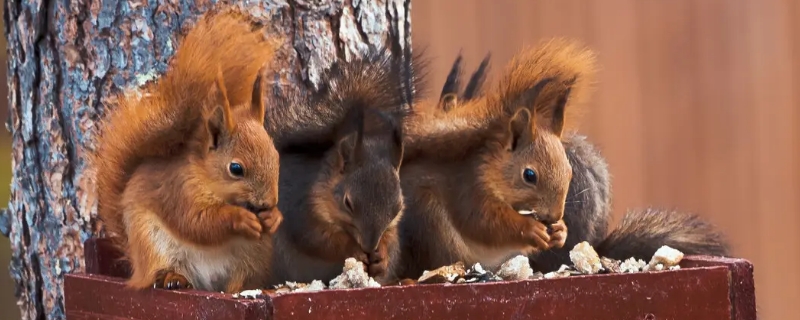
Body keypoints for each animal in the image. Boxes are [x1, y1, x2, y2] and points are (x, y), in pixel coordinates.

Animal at [90, 8, 282, 292]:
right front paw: (239, 219)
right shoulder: (178, 190)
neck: (210, 181)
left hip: (253, 255)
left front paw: (273, 218)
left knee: (241, 280)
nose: (269, 202)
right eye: (236, 168)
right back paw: (174, 279)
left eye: (276, 156)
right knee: (161, 271)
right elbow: (197, 223)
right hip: (152, 244)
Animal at [268, 50, 418, 284]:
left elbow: (390, 240)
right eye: (348, 202)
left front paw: (381, 257)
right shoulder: (301, 211)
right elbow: (320, 242)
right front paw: (353, 251)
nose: (369, 246)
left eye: (397, 208)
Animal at [396, 37, 600, 278]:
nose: (553, 216)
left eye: (570, 172)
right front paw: (530, 229)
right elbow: (485, 224)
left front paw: (561, 231)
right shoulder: (469, 188)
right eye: (529, 175)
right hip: (429, 218)